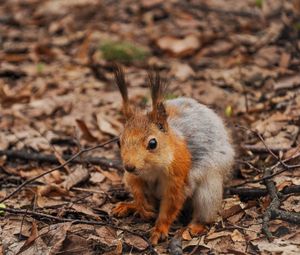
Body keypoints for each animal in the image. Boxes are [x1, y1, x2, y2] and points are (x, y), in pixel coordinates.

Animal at [111, 65, 236, 245]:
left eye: (153, 143)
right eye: (118, 142)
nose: (129, 166)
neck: (151, 169)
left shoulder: (178, 178)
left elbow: (170, 206)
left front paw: (159, 230)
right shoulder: (133, 176)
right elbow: (137, 189)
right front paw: (141, 207)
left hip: (208, 190)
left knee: (205, 213)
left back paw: (194, 227)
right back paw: (130, 206)